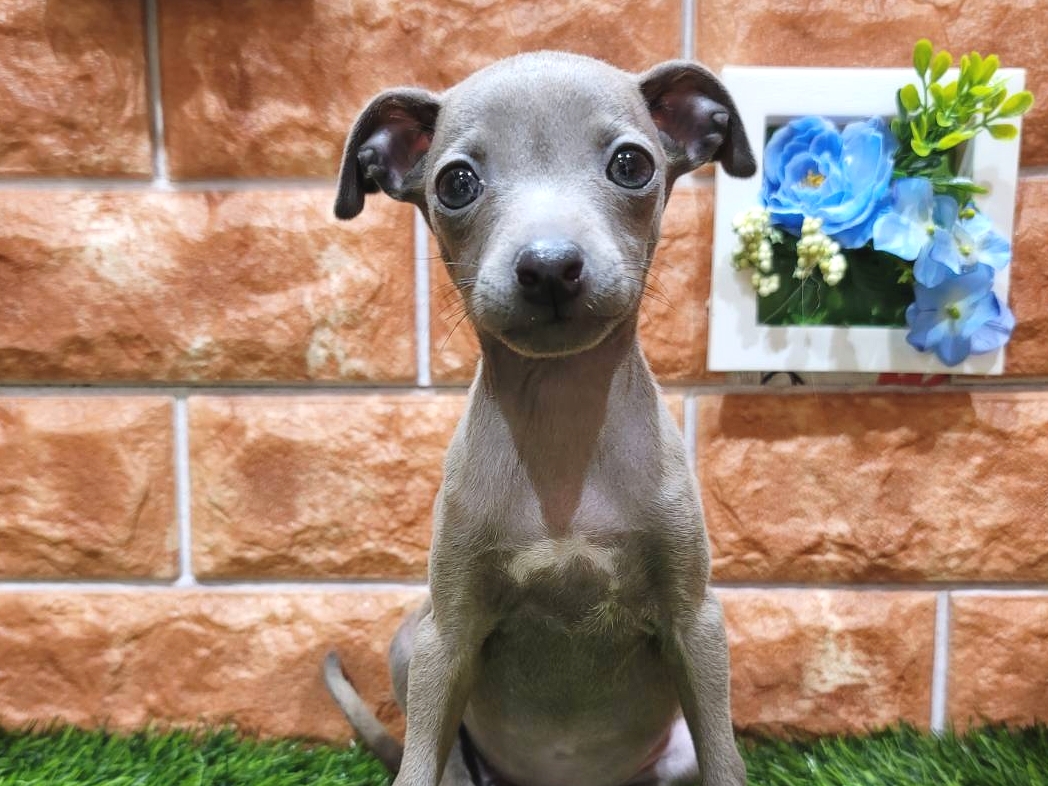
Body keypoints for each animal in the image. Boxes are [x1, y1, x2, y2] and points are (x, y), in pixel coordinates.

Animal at [324, 51, 755, 786]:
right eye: (457, 182)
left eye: (631, 164)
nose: (550, 266)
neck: (560, 414)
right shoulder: (447, 634)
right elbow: (418, 764)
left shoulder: (696, 623)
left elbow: (725, 759)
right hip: (412, 644)